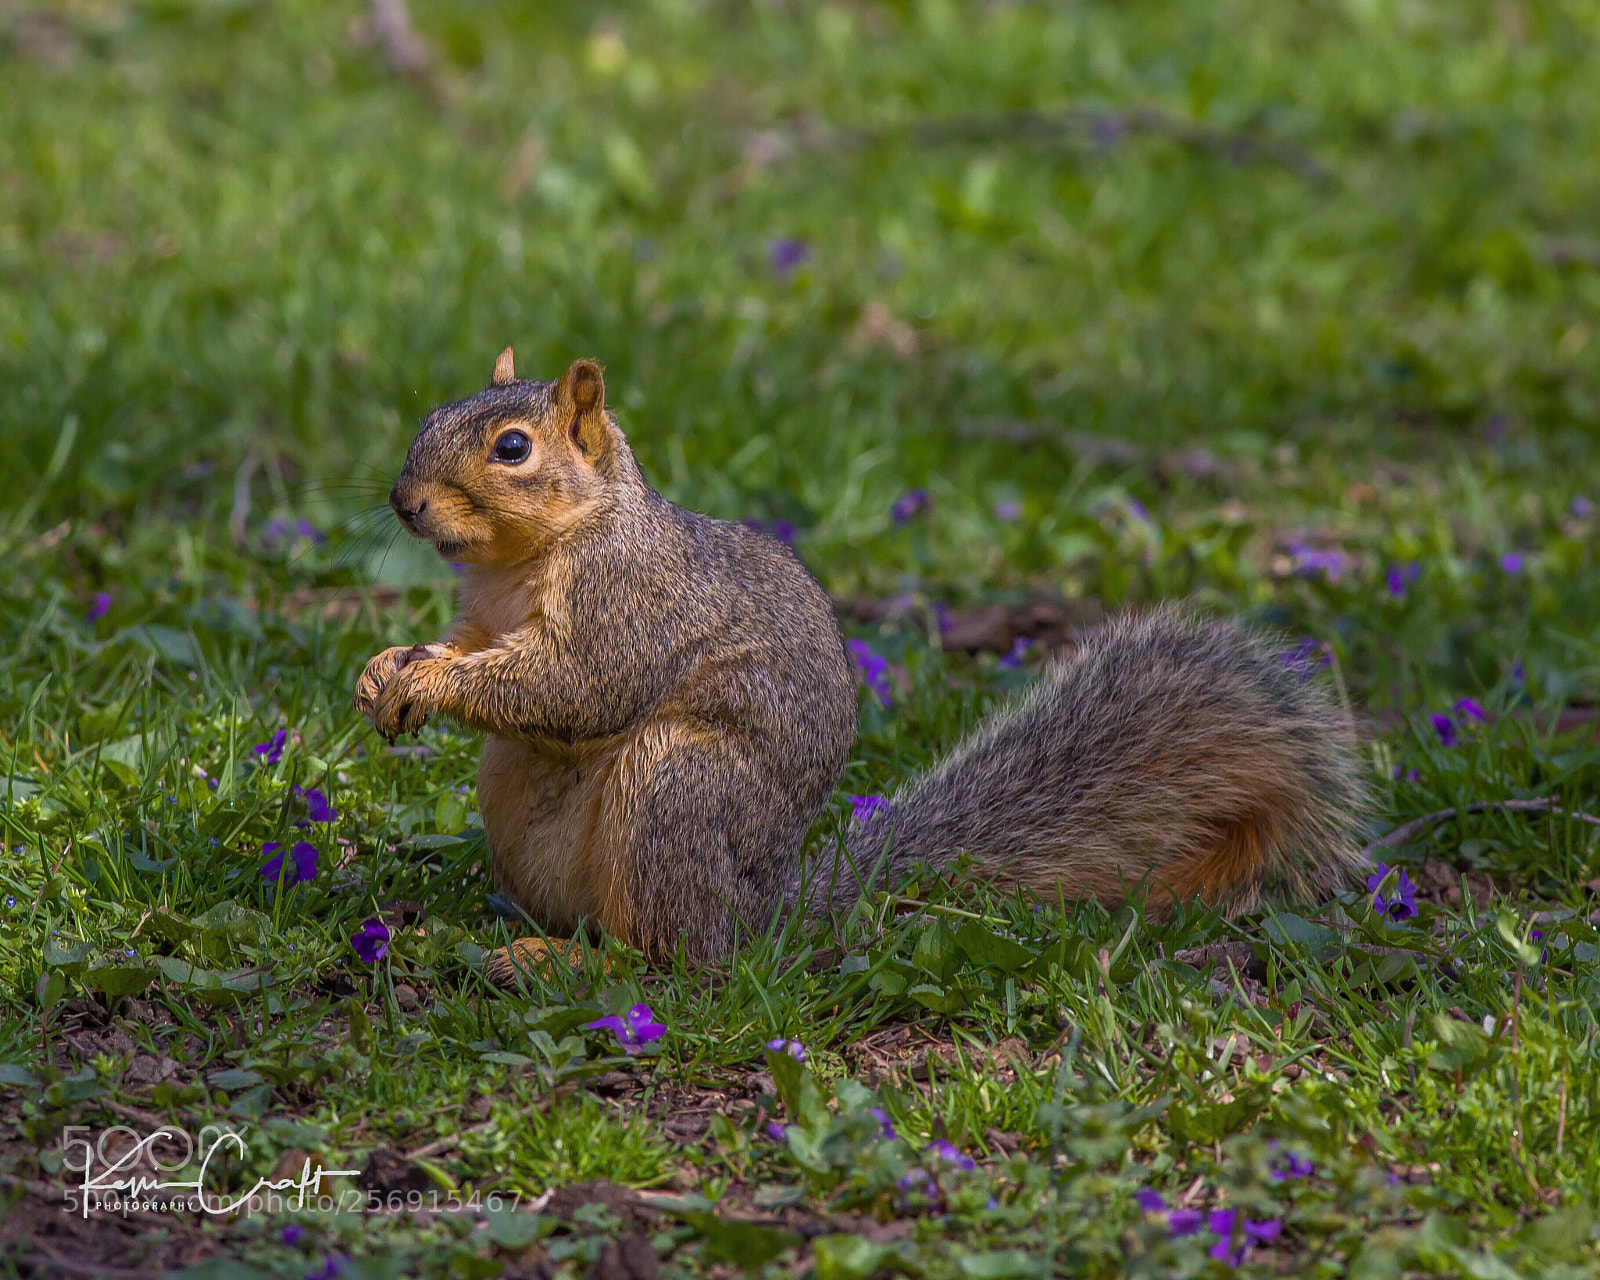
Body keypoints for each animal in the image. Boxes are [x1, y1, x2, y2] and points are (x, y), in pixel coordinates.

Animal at [354, 349, 1369, 982]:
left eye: (512, 448)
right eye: (432, 415)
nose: (403, 502)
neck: (525, 559)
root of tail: (762, 915)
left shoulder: (629, 607)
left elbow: (572, 685)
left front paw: (426, 681)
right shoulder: (483, 614)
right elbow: (478, 652)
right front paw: (382, 670)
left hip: (677, 789)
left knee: (668, 955)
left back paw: (563, 960)